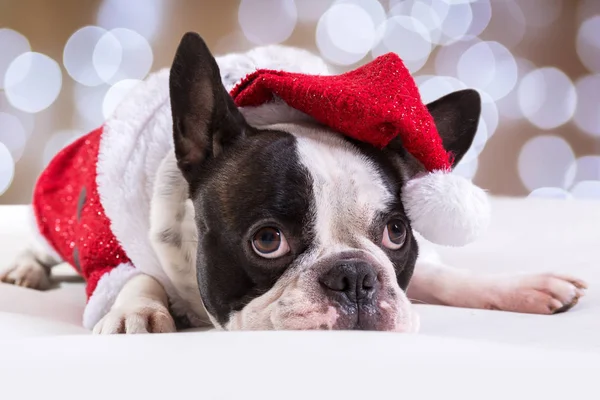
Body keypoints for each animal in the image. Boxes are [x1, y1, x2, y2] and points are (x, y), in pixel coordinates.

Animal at [0, 30, 588, 332]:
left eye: (398, 233)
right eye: (267, 241)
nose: (355, 277)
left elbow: (439, 276)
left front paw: (521, 286)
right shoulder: (112, 247)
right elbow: (130, 275)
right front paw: (137, 310)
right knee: (39, 241)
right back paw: (26, 267)